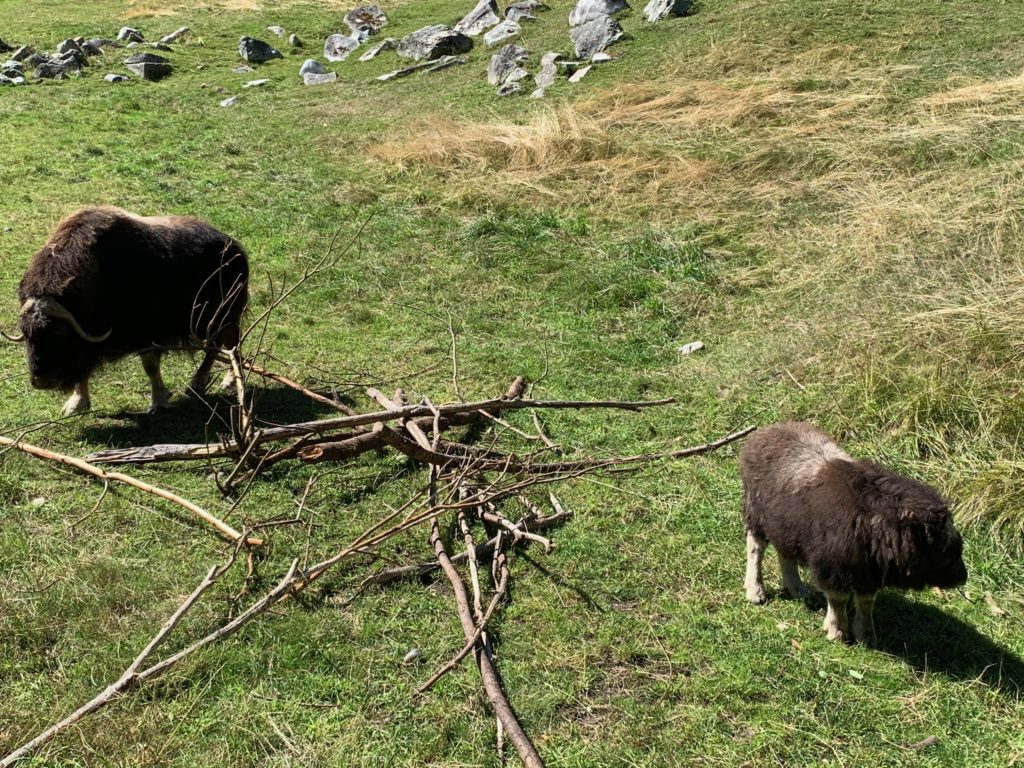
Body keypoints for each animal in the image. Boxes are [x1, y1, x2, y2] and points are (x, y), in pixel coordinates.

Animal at [4, 205, 248, 415]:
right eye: (26, 334)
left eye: (60, 332)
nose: (42, 381)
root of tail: (235, 247)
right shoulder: (88, 345)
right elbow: (83, 370)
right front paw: (76, 404)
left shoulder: (146, 331)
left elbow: (150, 366)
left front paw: (158, 402)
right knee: (228, 342)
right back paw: (227, 380)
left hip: (219, 315)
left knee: (219, 344)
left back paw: (199, 384)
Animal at [737, 423, 966, 647]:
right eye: (944, 551)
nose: (962, 578)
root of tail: (762, 434)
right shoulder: (834, 567)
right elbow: (838, 599)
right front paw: (837, 632)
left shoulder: (868, 572)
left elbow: (866, 602)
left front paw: (867, 637)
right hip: (756, 514)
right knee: (756, 548)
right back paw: (756, 592)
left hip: (785, 528)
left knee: (785, 554)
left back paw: (797, 589)